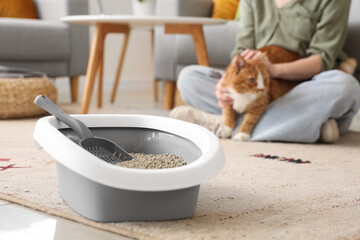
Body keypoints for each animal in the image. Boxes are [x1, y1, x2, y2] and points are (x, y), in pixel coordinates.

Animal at [217, 45, 358, 142]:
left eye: (265, 79)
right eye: (252, 80)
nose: (262, 89)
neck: (243, 94)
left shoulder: (261, 104)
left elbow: (249, 120)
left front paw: (242, 134)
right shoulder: (226, 95)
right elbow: (228, 112)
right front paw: (226, 128)